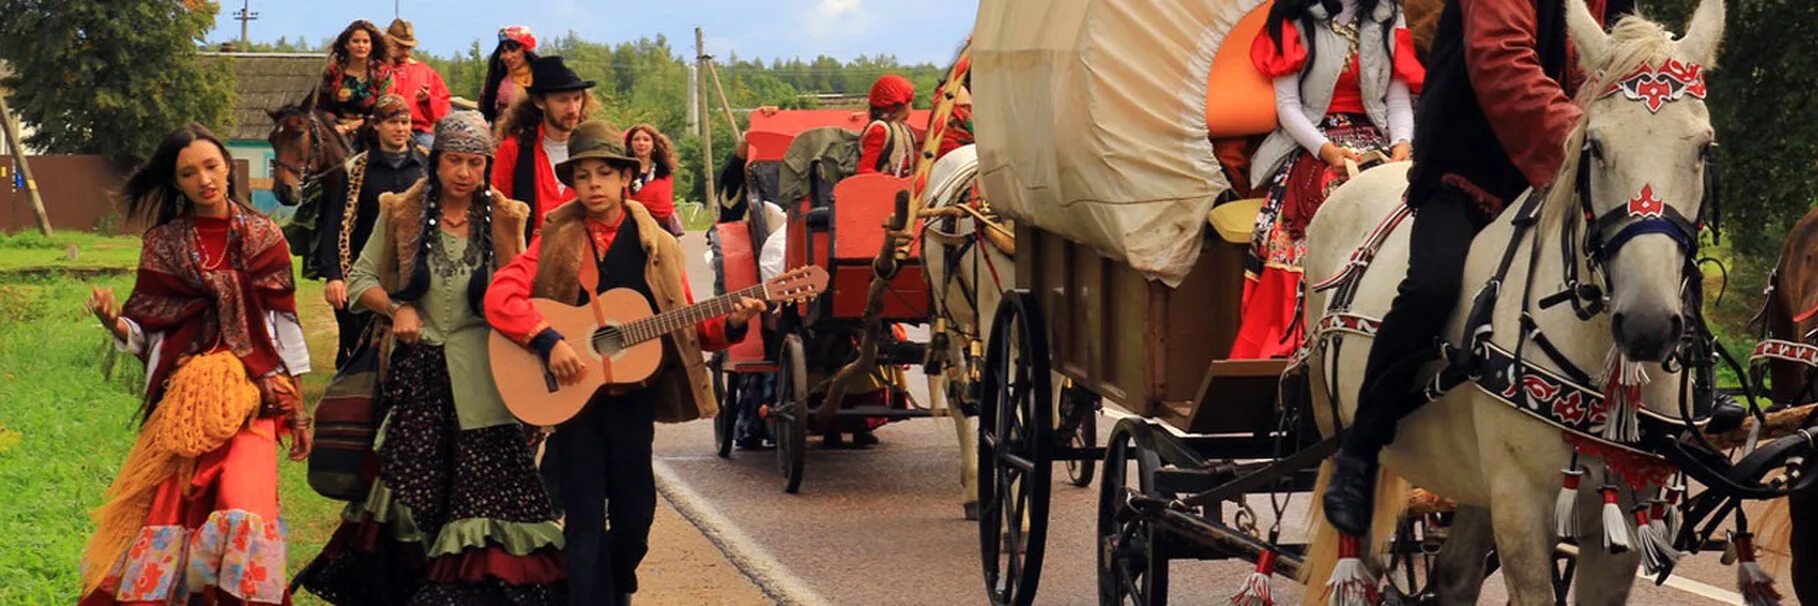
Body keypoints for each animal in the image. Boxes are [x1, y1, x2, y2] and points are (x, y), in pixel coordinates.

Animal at [1301, 2, 1723, 600]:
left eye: (1703, 147)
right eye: (1594, 147)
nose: (1646, 324)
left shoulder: (1621, 520)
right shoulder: (1521, 506)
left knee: (1454, 574)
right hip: (1340, 431)